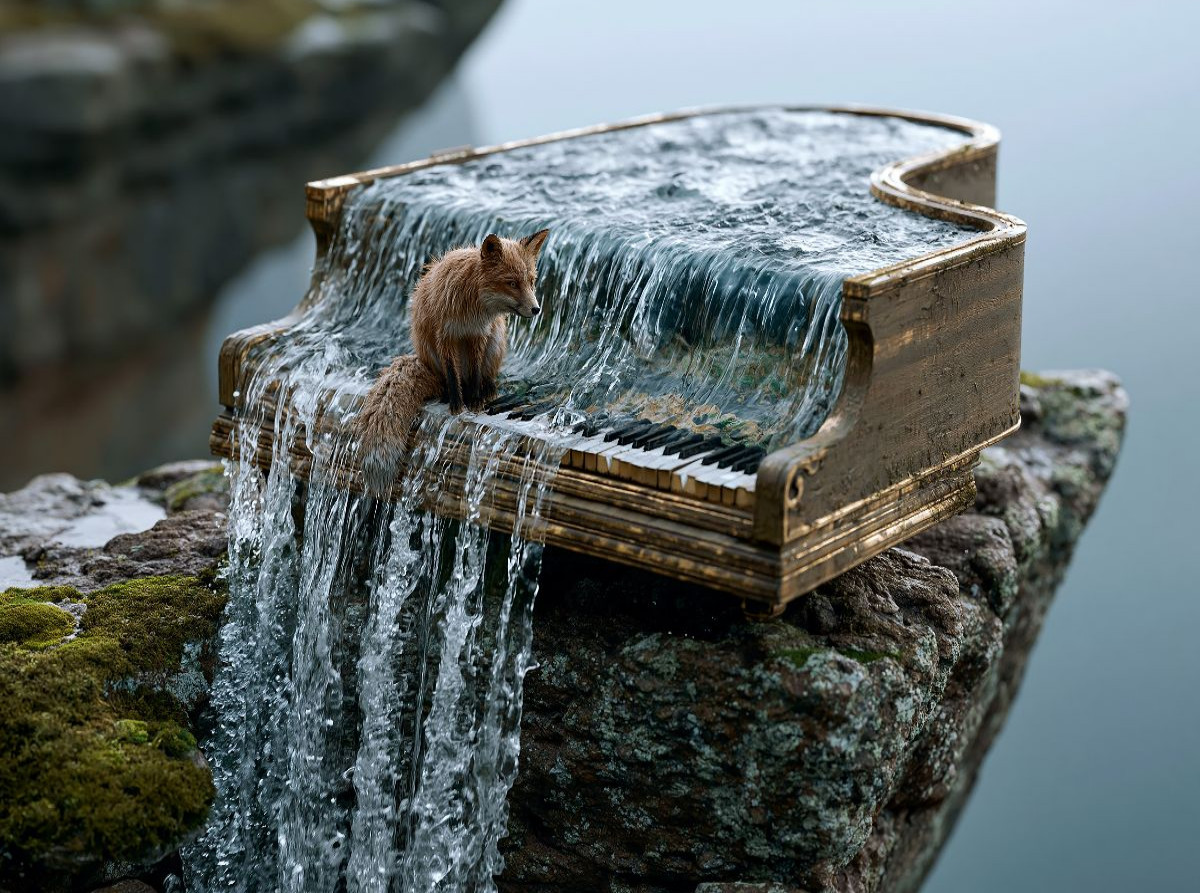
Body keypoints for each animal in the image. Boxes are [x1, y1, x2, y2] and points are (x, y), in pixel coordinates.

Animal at [355, 228, 551, 496]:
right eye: (511, 283)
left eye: (531, 281)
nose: (536, 309)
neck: (472, 307)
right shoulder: (445, 336)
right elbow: (452, 375)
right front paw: (458, 406)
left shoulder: (478, 335)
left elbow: (476, 374)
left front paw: (475, 403)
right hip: (432, 352)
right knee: (449, 380)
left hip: (495, 341)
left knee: (484, 377)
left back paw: (486, 392)